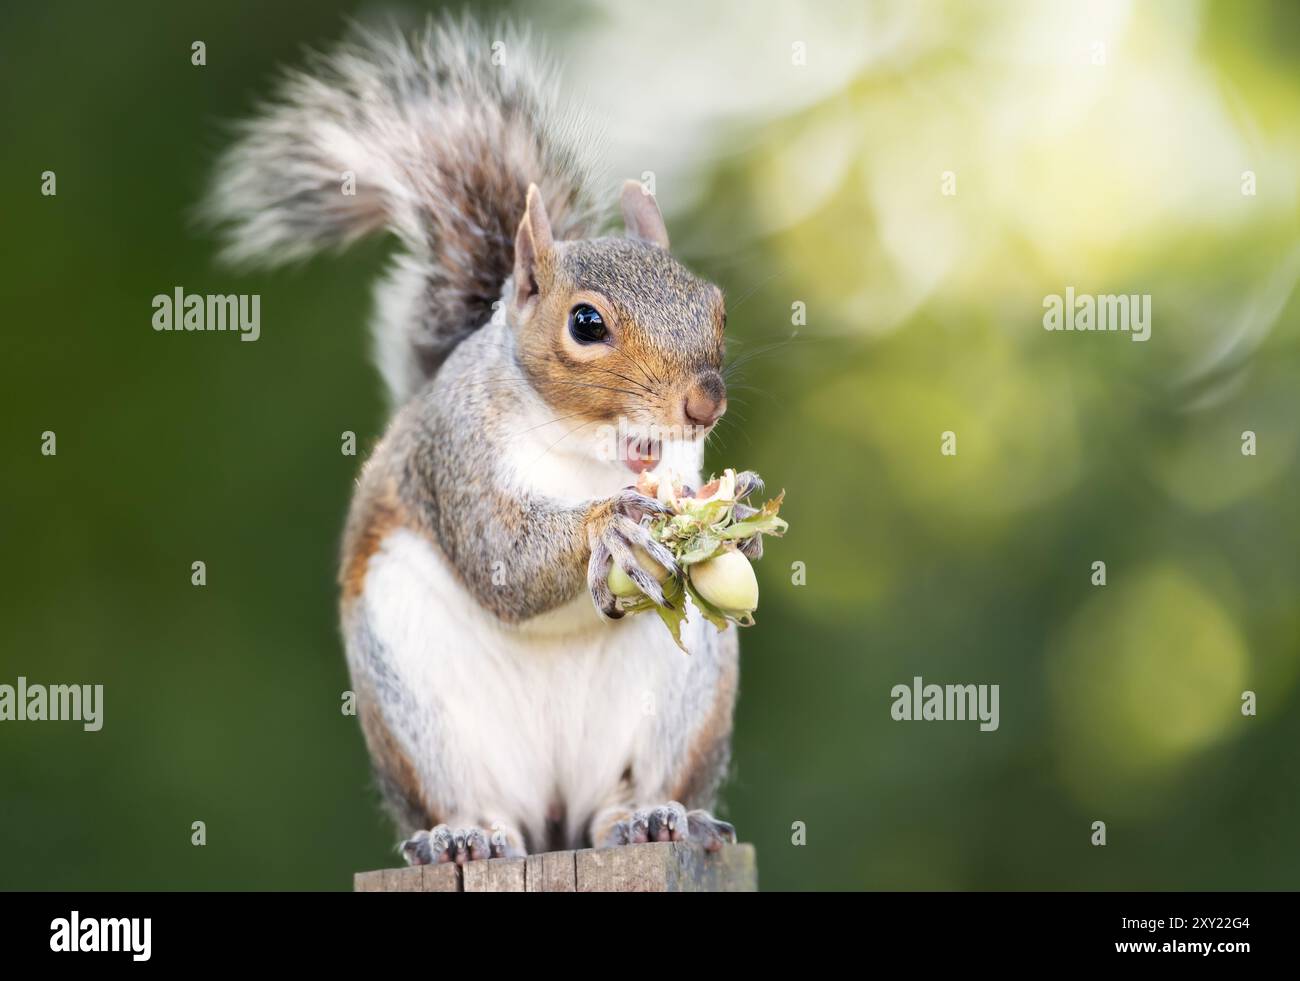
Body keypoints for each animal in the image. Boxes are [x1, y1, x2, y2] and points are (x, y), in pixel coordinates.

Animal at [205, 17, 754, 863]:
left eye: (715, 306)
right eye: (585, 322)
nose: (704, 402)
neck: (584, 455)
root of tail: (555, 815)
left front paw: (740, 512)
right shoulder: (453, 458)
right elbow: (504, 560)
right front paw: (613, 527)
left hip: (683, 701)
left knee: (631, 791)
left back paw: (654, 816)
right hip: (418, 710)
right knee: (475, 801)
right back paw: (466, 834)